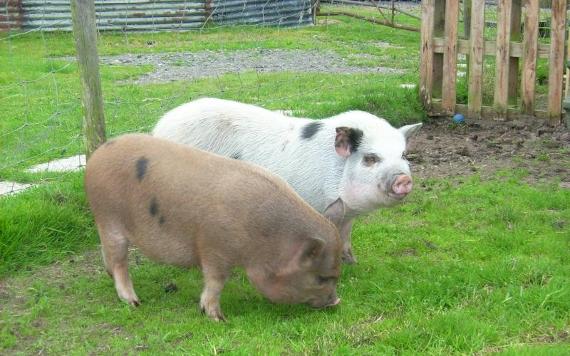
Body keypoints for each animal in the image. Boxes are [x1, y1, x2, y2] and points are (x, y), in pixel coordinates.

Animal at [84, 133, 342, 320]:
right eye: (321, 278)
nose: (337, 301)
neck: (265, 238)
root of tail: (97, 155)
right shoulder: (214, 248)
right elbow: (216, 282)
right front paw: (218, 318)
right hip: (109, 218)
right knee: (119, 261)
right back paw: (134, 302)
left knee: (108, 254)